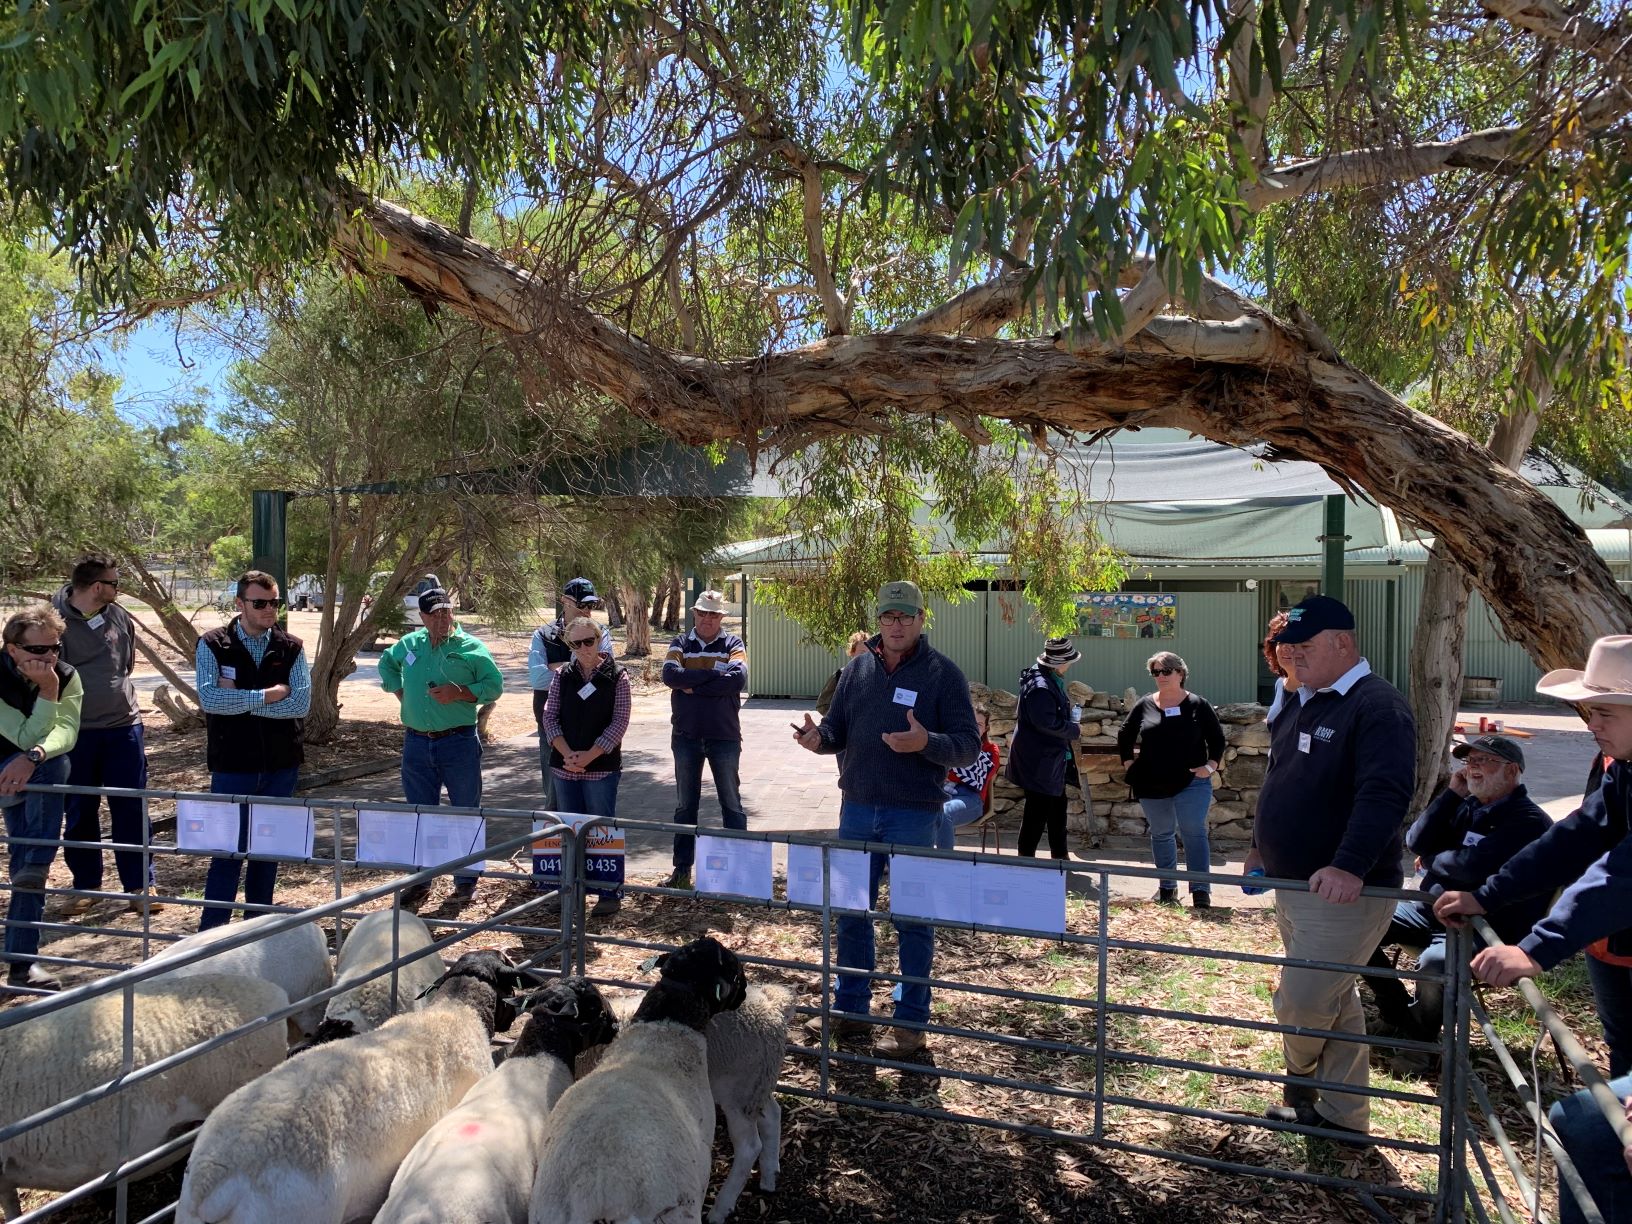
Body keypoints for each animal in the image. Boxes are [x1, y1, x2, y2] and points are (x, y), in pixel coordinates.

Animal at [581, 983, 794, 1224]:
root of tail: (770, 1004)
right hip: (756, 1083)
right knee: (772, 1114)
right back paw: (769, 1176)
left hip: (737, 1090)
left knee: (749, 1146)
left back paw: (720, 1209)